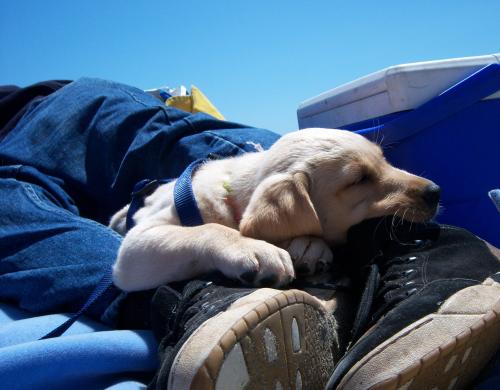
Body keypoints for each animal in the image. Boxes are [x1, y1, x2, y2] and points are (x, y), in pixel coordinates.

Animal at [110, 129, 442, 290]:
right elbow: (210, 229)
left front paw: (309, 246)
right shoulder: (134, 250)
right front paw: (253, 248)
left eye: (384, 160)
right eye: (359, 179)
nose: (436, 192)